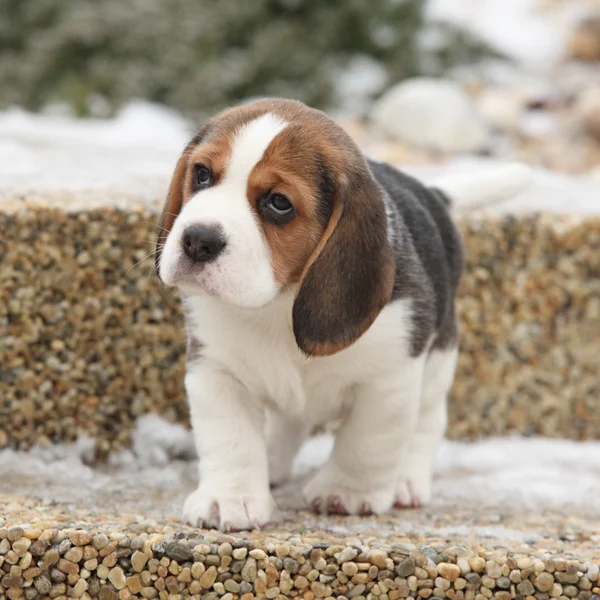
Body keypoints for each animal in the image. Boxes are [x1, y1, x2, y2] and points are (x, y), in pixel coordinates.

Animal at [156, 97, 528, 528]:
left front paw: (347, 492)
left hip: (439, 359)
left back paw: (406, 481)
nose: (197, 240)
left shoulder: (389, 379)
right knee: (287, 422)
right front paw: (229, 499)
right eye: (201, 174)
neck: (279, 305)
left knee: (427, 421)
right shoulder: (217, 371)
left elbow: (367, 442)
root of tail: (430, 192)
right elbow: (230, 439)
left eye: (279, 203)